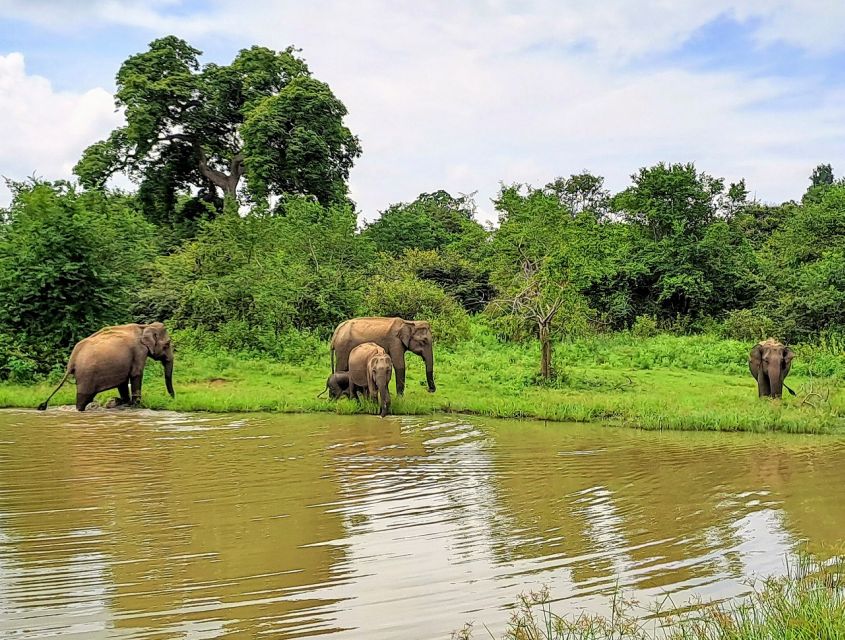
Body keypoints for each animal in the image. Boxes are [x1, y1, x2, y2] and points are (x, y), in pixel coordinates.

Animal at [36, 322, 175, 412]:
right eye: (167, 344)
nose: (173, 399)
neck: (145, 326)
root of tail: (72, 361)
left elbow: (123, 382)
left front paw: (124, 403)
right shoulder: (139, 351)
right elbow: (136, 374)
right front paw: (136, 405)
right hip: (86, 376)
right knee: (83, 398)